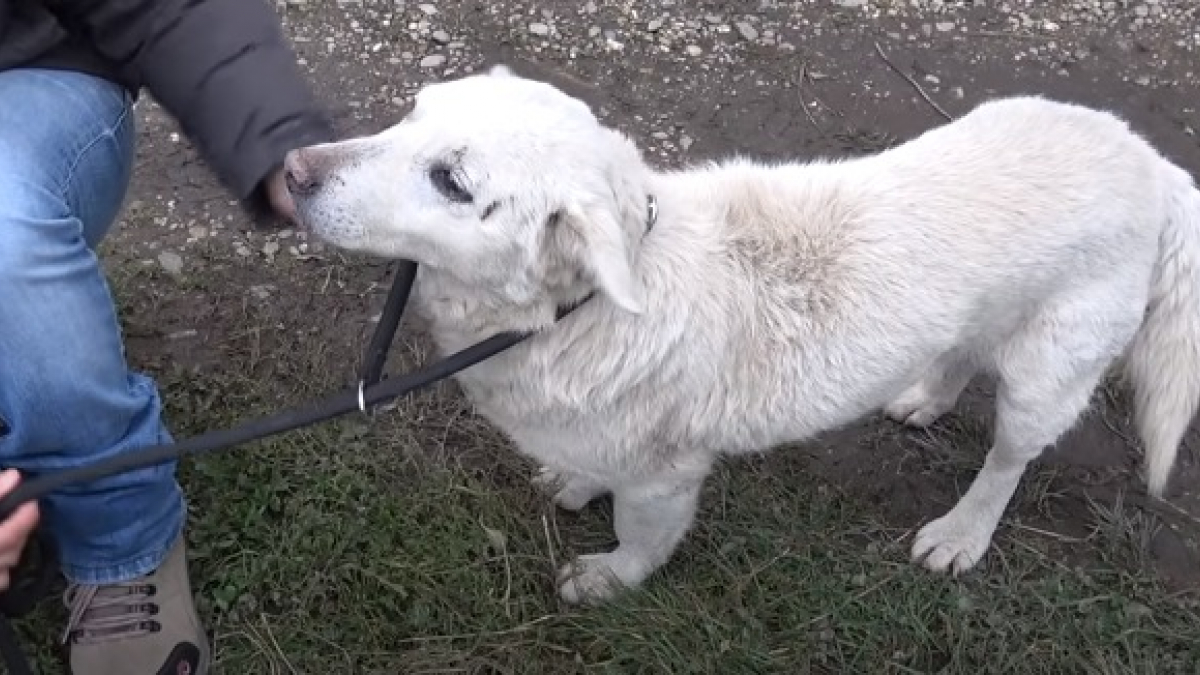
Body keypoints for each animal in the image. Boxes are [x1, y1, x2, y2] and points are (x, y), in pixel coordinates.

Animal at [283, 66, 1200, 605]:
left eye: (451, 180)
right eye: (409, 115)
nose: (292, 172)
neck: (578, 310)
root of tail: (1152, 164)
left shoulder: (667, 478)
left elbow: (641, 536)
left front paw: (609, 578)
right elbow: (590, 466)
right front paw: (577, 480)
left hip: (1049, 372)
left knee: (1009, 459)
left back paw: (961, 533)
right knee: (960, 354)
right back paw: (923, 399)